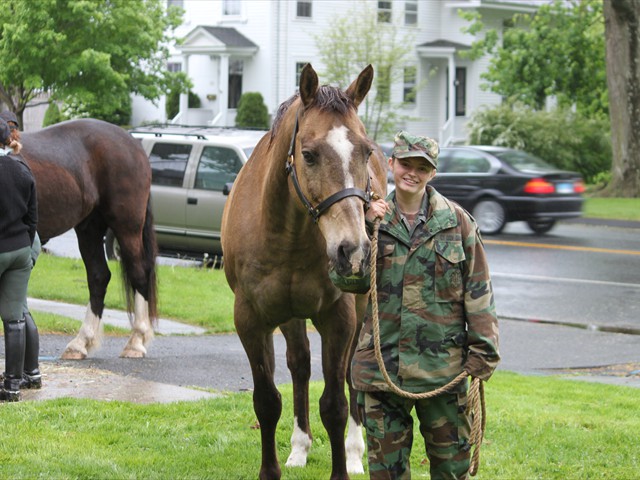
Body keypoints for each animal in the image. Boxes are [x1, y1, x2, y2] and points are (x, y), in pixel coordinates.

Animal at [21, 118, 158, 360]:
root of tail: (133, 143)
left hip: (127, 226)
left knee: (139, 272)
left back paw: (135, 342)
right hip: (89, 228)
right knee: (98, 277)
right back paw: (80, 343)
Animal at [221, 63, 387, 479]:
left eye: (366, 152)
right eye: (308, 155)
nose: (353, 251)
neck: (287, 233)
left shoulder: (339, 317)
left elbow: (335, 405)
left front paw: (343, 466)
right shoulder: (251, 319)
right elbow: (267, 401)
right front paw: (272, 469)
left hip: (359, 308)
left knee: (349, 374)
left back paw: (356, 454)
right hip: (291, 315)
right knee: (299, 365)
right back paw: (299, 448)